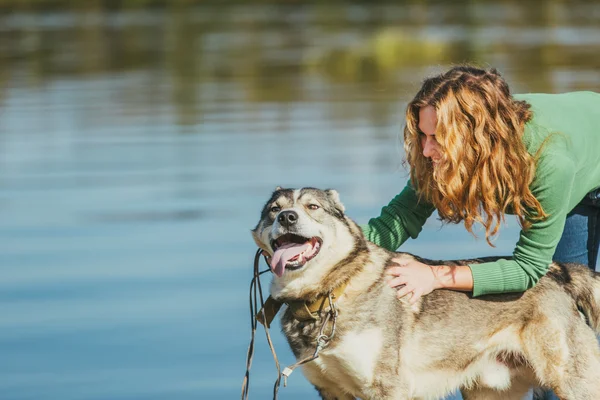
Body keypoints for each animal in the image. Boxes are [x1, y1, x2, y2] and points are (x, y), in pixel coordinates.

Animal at [251, 188, 600, 400]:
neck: (330, 293)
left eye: (312, 207)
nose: (287, 217)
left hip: (575, 384)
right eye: (273, 210)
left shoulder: (388, 388)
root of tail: (558, 272)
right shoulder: (331, 390)